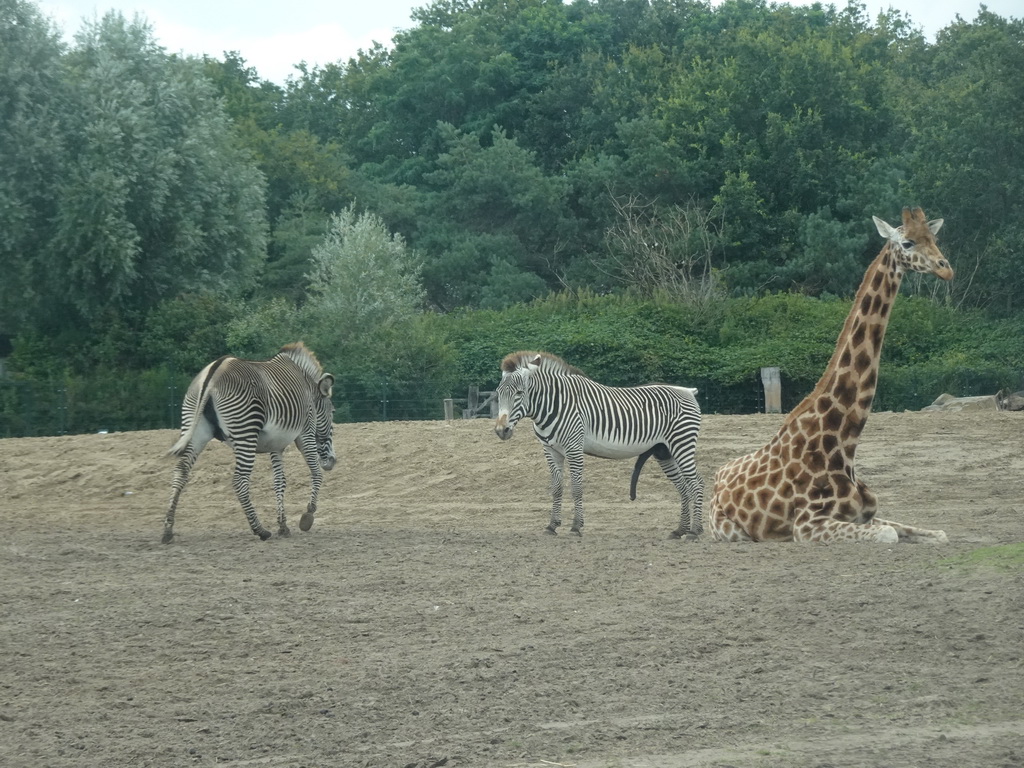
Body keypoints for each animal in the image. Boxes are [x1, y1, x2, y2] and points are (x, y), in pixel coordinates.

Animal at [160, 342, 335, 540]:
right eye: (333, 412)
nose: (332, 462)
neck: (308, 387)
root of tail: (214, 371)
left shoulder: (276, 445)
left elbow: (279, 481)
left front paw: (283, 526)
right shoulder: (306, 432)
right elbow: (316, 473)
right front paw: (308, 515)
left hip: (195, 427)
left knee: (181, 471)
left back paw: (168, 529)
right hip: (245, 431)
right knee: (239, 480)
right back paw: (260, 530)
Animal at [493, 352, 704, 536]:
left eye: (520, 393)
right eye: (498, 393)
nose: (501, 430)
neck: (554, 405)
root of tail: (687, 390)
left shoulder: (574, 448)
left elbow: (577, 487)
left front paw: (576, 527)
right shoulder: (551, 450)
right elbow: (557, 488)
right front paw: (552, 525)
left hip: (682, 443)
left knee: (697, 482)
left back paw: (695, 531)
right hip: (664, 451)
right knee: (683, 486)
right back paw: (680, 530)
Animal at [712, 207, 950, 544]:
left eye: (934, 239)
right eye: (907, 243)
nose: (946, 269)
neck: (845, 444)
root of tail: (717, 476)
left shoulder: (866, 515)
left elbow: (937, 533)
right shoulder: (806, 525)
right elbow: (889, 534)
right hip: (732, 531)